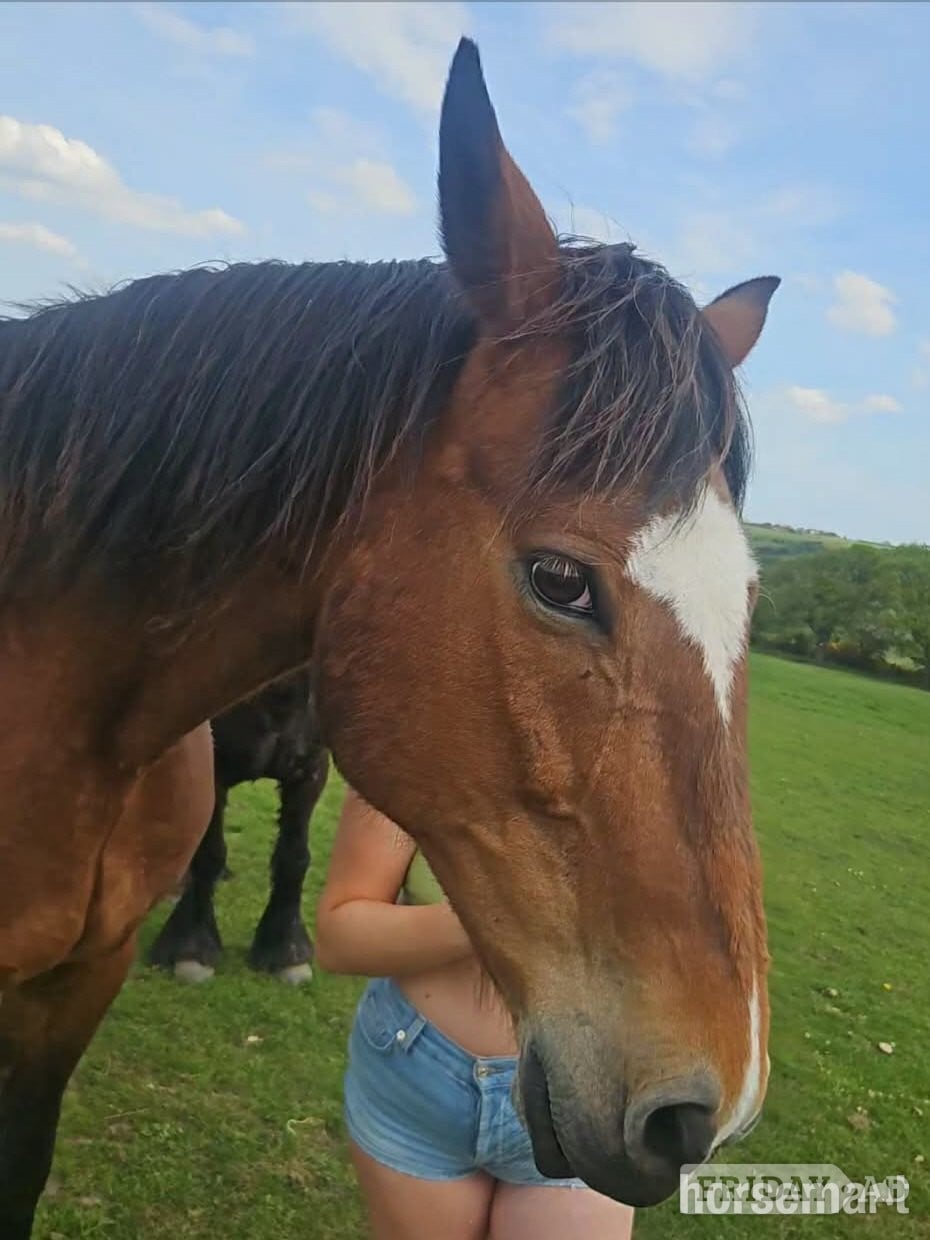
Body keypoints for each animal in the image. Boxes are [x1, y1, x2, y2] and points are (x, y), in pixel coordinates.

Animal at [148, 670, 327, 985]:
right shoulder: (212, 771)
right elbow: (209, 854)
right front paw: (191, 947)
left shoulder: (310, 769)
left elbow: (294, 857)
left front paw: (286, 950)